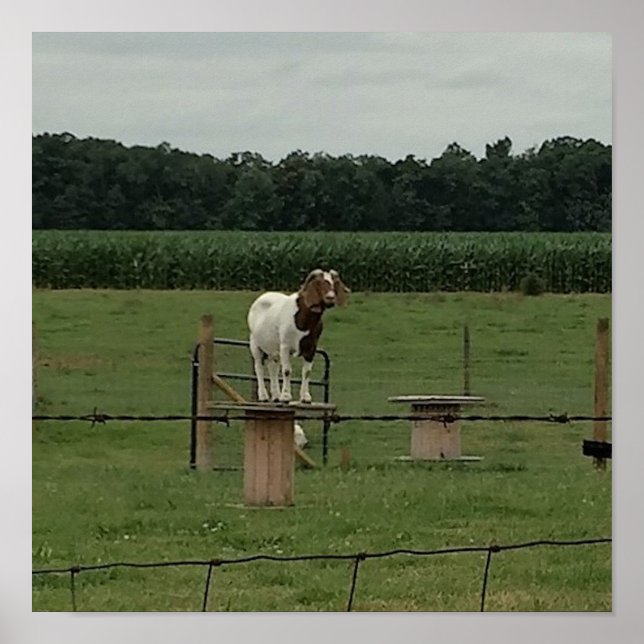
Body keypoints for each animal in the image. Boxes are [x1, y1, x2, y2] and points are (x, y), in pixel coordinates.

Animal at [247, 269, 350, 403]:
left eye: (334, 283)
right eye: (318, 283)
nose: (330, 298)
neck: (303, 319)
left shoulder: (311, 348)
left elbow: (307, 372)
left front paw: (305, 397)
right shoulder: (285, 346)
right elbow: (286, 371)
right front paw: (286, 396)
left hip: (273, 348)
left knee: (273, 368)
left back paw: (276, 396)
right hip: (255, 344)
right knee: (258, 367)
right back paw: (264, 396)